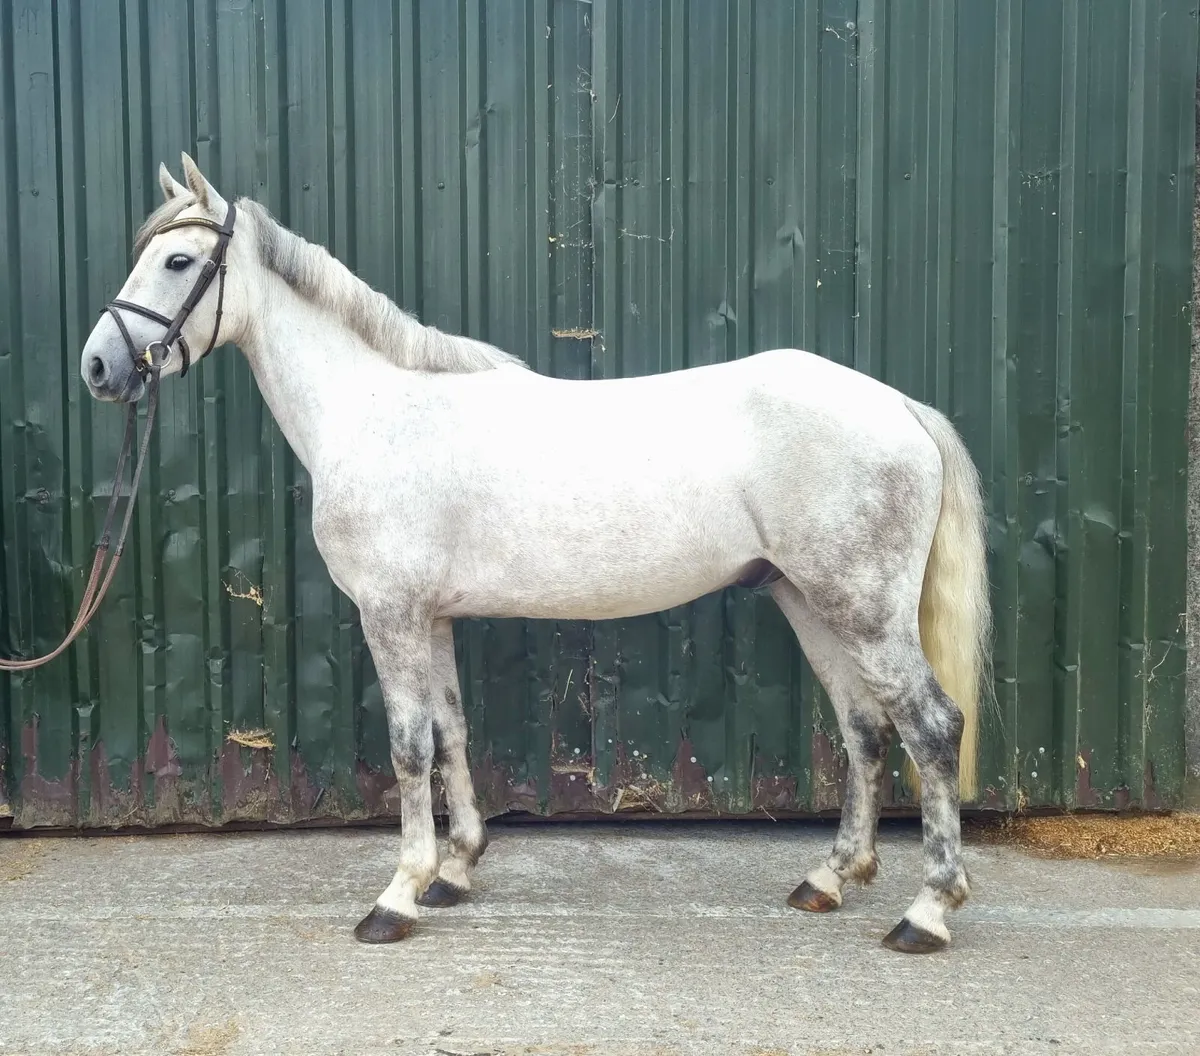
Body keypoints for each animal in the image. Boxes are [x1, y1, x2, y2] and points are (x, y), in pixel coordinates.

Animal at [79, 154, 992, 954]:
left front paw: (397, 896)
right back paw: (830, 878)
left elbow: (410, 746)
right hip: (808, 601)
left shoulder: (390, 613)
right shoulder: (430, 617)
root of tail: (898, 407)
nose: (99, 366)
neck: (371, 410)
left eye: (179, 260)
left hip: (862, 609)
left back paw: (926, 912)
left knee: (931, 727)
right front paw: (455, 871)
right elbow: (450, 729)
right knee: (866, 729)